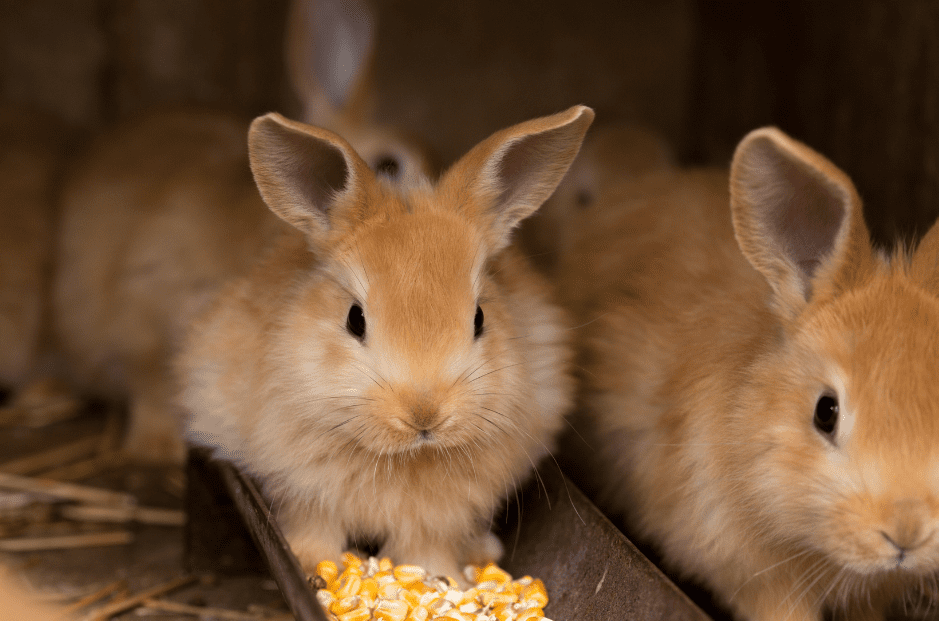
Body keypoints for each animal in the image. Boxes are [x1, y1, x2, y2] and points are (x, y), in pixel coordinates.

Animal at [177, 104, 594, 580]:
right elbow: (315, 531)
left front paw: (443, 581)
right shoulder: (306, 495)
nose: (425, 415)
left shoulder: (436, 520)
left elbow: (426, 548)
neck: (408, 455)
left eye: (479, 318)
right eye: (355, 319)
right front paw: (311, 567)